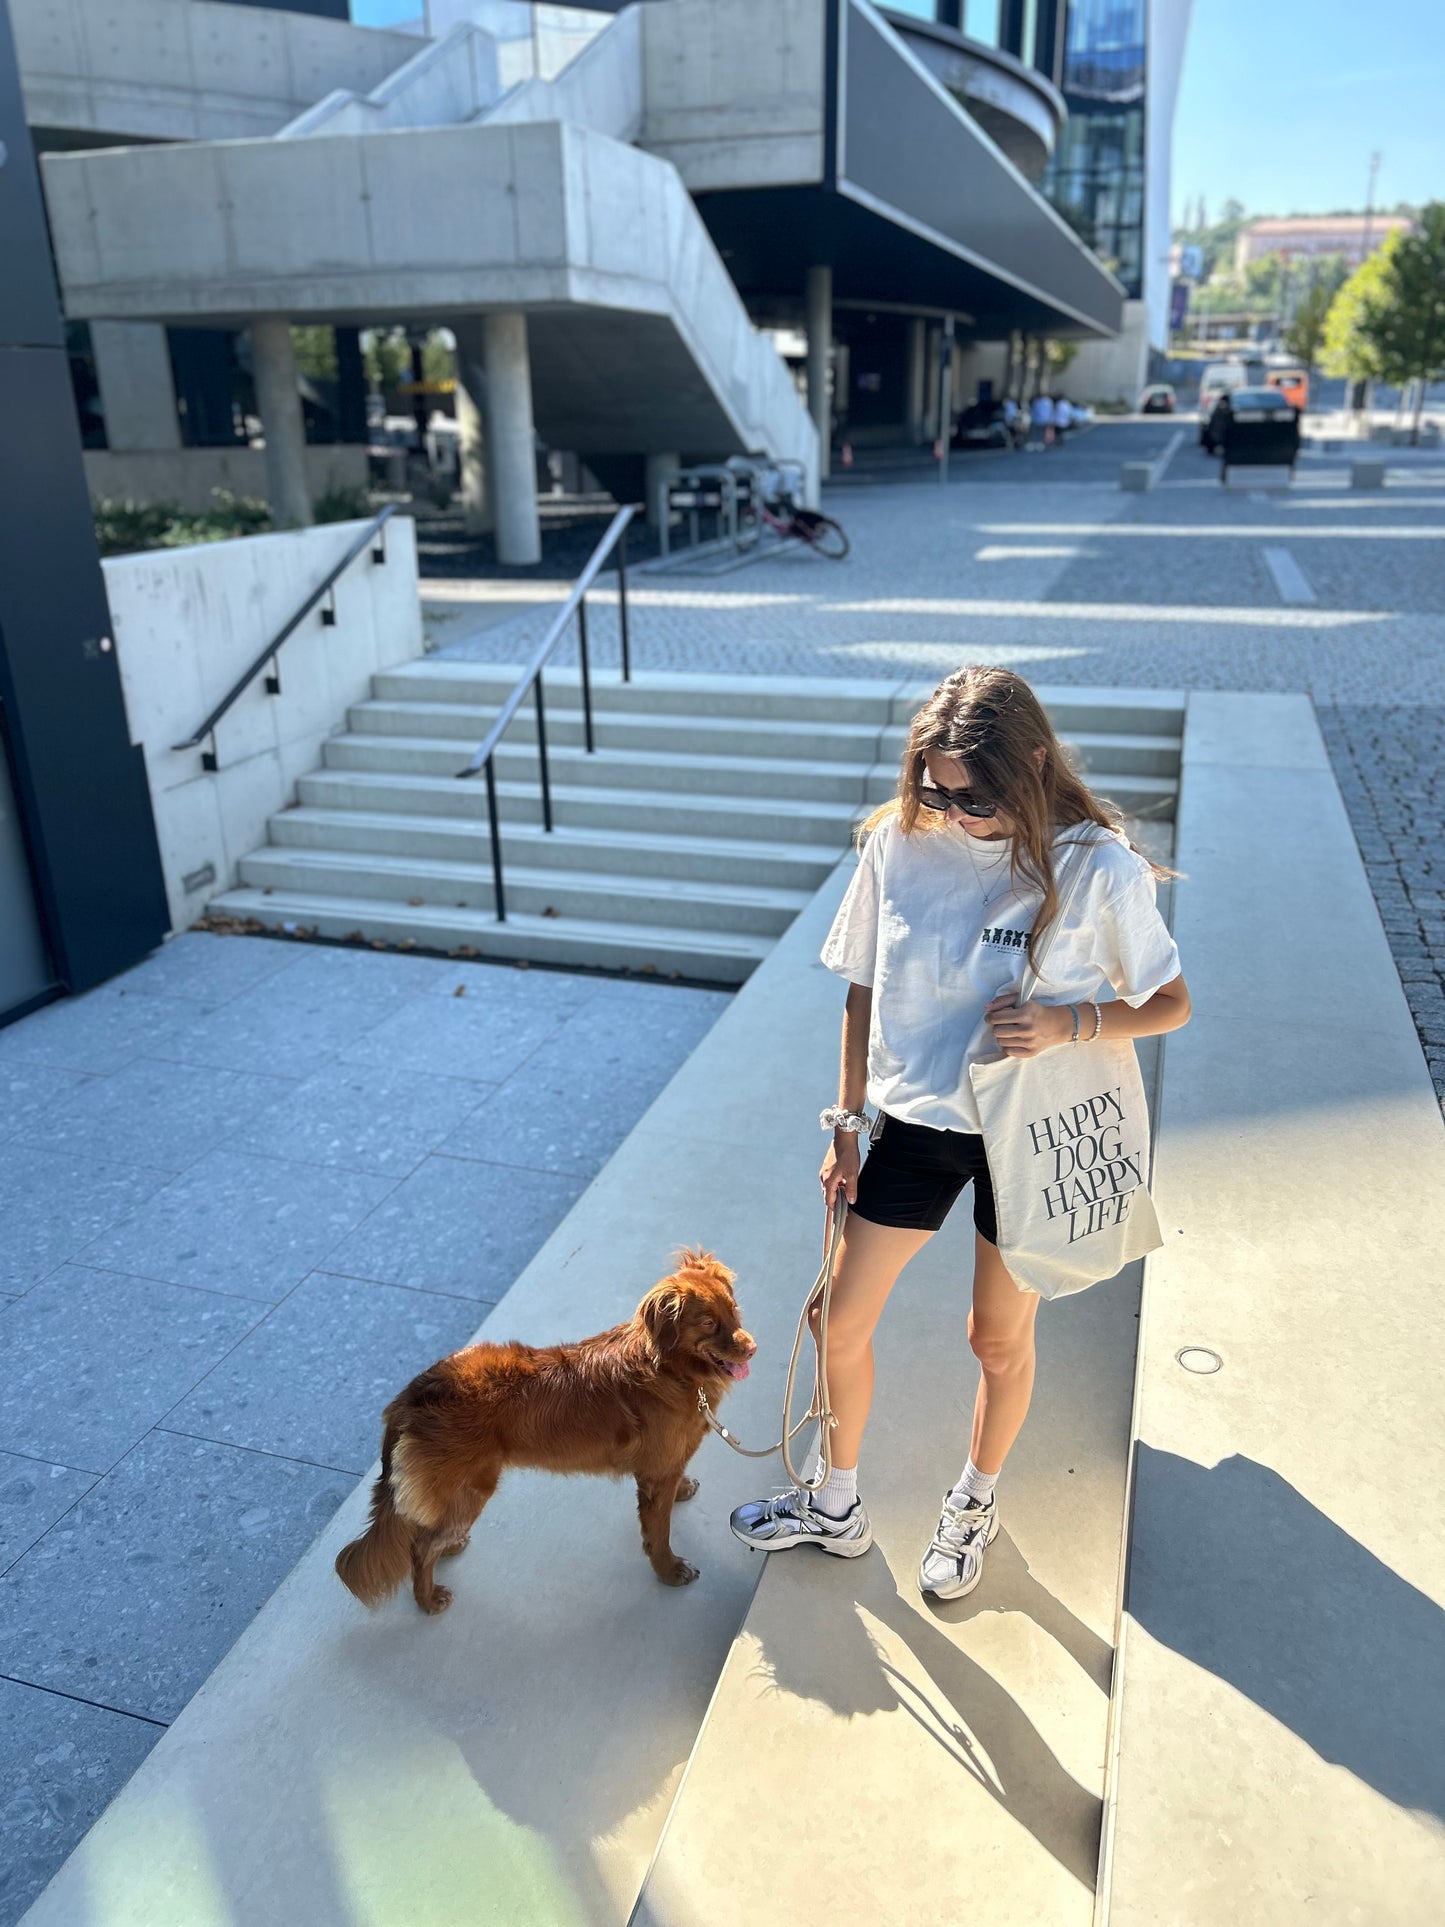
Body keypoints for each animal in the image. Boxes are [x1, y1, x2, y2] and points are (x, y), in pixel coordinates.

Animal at [333, 1248, 751, 1610]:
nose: (752, 1348)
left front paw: (682, 1490)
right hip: (470, 1491)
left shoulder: (664, 1466)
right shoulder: (653, 1477)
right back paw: (427, 1600)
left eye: (733, 1310)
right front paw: (669, 1571)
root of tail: (412, 1396)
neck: (670, 1369)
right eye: (708, 1323)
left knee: (428, 1535)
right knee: (420, 1548)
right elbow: (659, 1534)